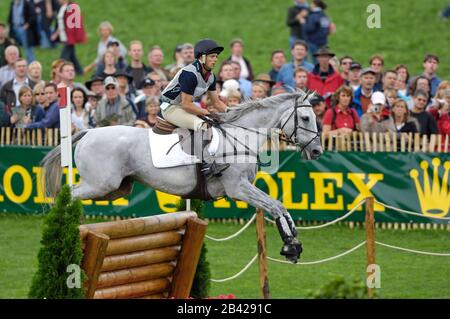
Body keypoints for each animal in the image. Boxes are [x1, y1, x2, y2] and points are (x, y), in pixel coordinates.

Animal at [42, 90, 324, 262]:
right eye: (305, 117)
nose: (317, 151)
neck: (240, 137)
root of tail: (88, 132)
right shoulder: (238, 188)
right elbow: (275, 207)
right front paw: (290, 246)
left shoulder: (244, 188)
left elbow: (280, 206)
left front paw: (294, 243)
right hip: (101, 184)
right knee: (67, 194)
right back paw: (64, 225)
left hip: (117, 188)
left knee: (74, 195)